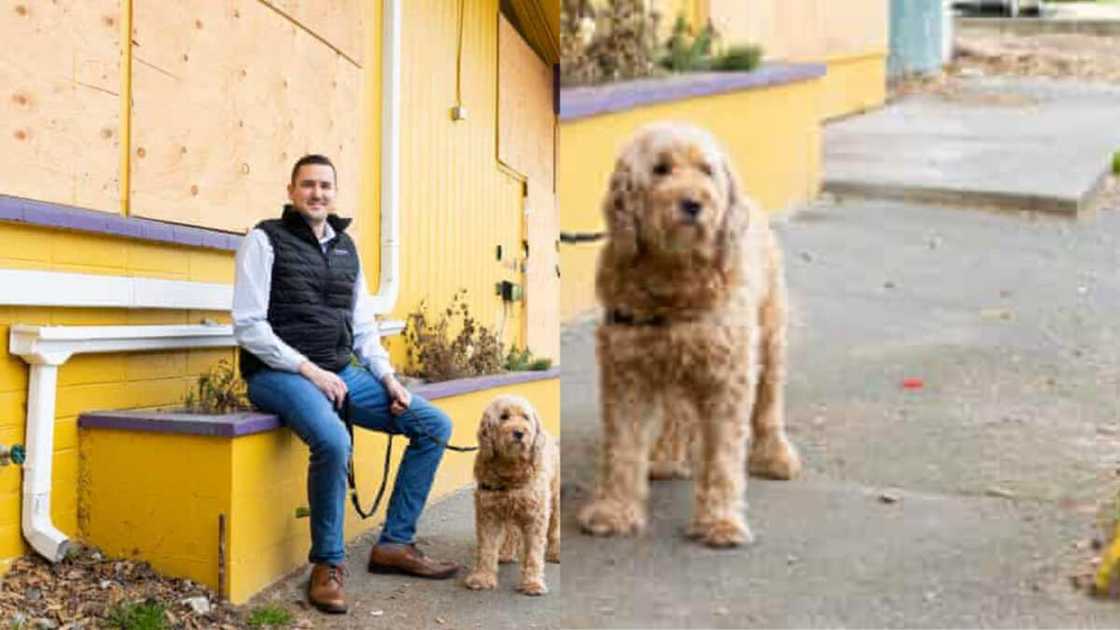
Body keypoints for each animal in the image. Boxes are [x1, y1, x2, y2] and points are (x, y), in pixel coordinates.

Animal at [461, 394, 557, 591]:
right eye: (504, 417)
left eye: (525, 417)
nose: (519, 433)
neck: (511, 468)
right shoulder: (488, 513)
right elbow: (487, 547)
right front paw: (483, 577)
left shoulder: (536, 515)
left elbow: (534, 552)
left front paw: (533, 583)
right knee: (512, 531)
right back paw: (506, 553)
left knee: (554, 525)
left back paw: (554, 552)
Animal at [573, 121, 801, 544]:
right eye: (660, 169)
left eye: (706, 170)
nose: (693, 204)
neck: (675, 278)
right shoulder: (626, 374)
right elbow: (622, 448)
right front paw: (615, 510)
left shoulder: (728, 377)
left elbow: (724, 456)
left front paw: (721, 522)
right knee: (679, 410)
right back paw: (667, 457)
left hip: (770, 337)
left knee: (768, 404)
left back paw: (775, 455)